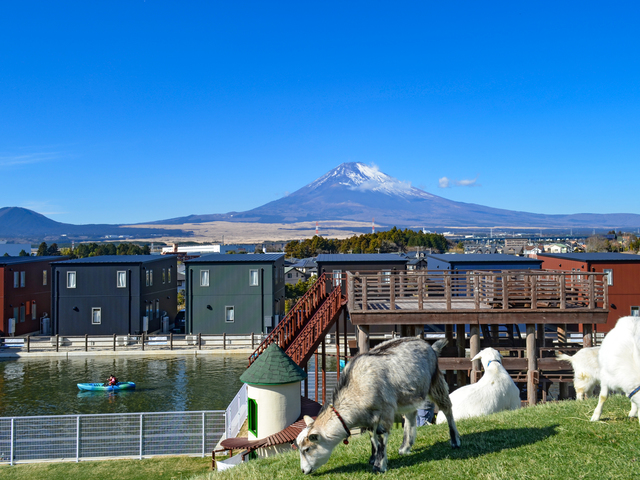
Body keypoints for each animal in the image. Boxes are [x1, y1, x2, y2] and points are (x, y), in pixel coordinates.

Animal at [296, 336, 460, 474]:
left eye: (307, 449)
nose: (304, 471)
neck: (356, 387)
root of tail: (431, 346)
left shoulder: (385, 410)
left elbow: (380, 436)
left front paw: (379, 466)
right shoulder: (370, 417)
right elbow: (372, 436)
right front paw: (373, 458)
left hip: (435, 382)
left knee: (447, 409)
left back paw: (455, 441)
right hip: (407, 395)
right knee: (411, 416)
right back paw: (405, 447)